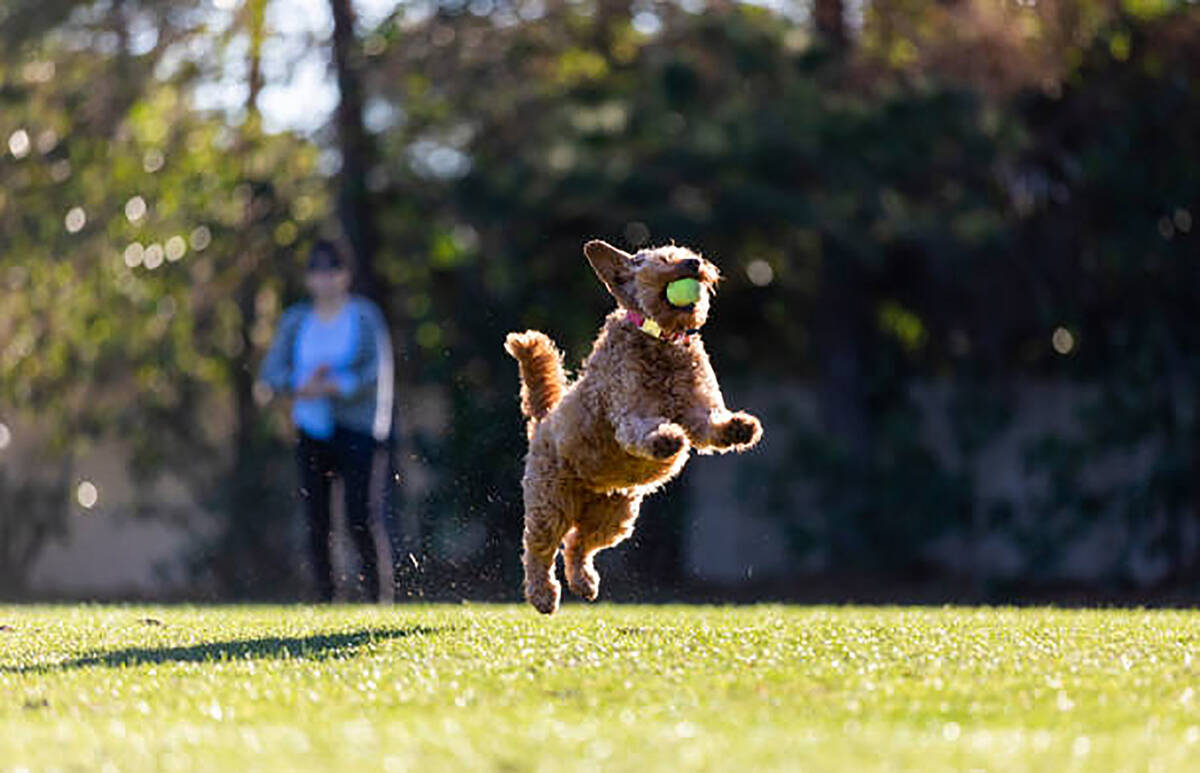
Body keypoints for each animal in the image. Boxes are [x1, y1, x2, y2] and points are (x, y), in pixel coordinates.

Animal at [504, 241, 763, 614]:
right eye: (662, 258)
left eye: (687, 251)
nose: (693, 262)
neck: (663, 340)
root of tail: (544, 418)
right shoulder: (629, 411)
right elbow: (644, 429)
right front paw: (667, 438)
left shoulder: (700, 408)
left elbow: (711, 422)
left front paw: (740, 427)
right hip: (551, 503)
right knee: (539, 549)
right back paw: (543, 595)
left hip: (614, 515)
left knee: (578, 544)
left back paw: (584, 582)